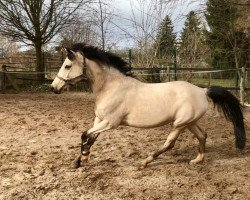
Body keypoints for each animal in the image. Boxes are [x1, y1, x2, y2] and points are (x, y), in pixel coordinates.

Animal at [51, 43, 246, 169]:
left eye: (67, 65)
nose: (54, 88)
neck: (111, 87)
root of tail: (202, 90)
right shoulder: (99, 119)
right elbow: (90, 138)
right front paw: (78, 161)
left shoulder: (110, 122)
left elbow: (85, 135)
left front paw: (83, 158)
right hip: (189, 122)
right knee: (202, 135)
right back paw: (197, 160)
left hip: (180, 123)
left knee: (169, 144)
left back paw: (144, 162)